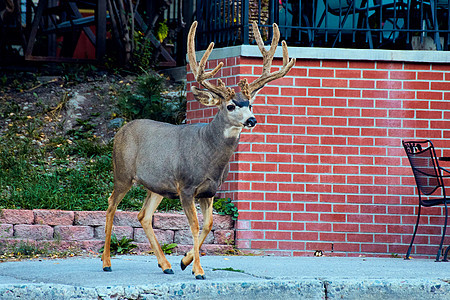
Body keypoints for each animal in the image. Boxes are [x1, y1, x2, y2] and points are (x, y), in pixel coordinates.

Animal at [102, 20, 298, 278]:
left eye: (250, 104)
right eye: (230, 105)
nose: (252, 120)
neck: (209, 156)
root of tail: (120, 131)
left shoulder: (209, 191)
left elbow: (208, 225)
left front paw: (184, 261)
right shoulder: (186, 187)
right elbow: (194, 226)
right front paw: (198, 270)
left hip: (157, 185)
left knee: (144, 215)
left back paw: (165, 265)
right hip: (122, 172)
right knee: (110, 205)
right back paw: (106, 262)